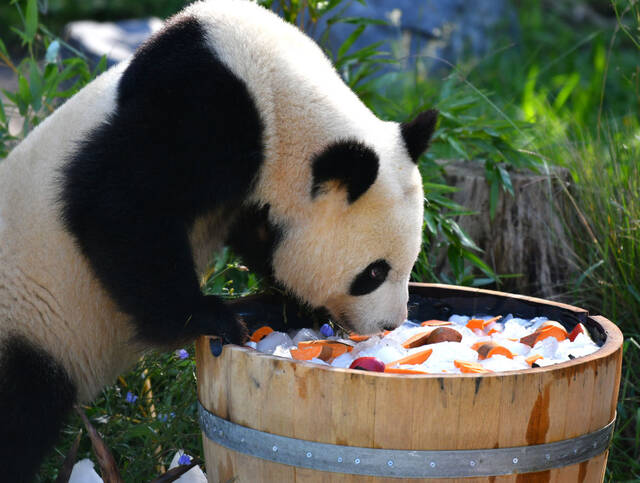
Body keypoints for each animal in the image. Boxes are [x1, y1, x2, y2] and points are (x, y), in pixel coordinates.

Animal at [0, 0, 438, 478]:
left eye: (411, 262)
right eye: (374, 273)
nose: (391, 324)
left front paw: (289, 305)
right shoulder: (197, 111)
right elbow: (115, 206)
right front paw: (215, 317)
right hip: (28, 323)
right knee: (22, 412)